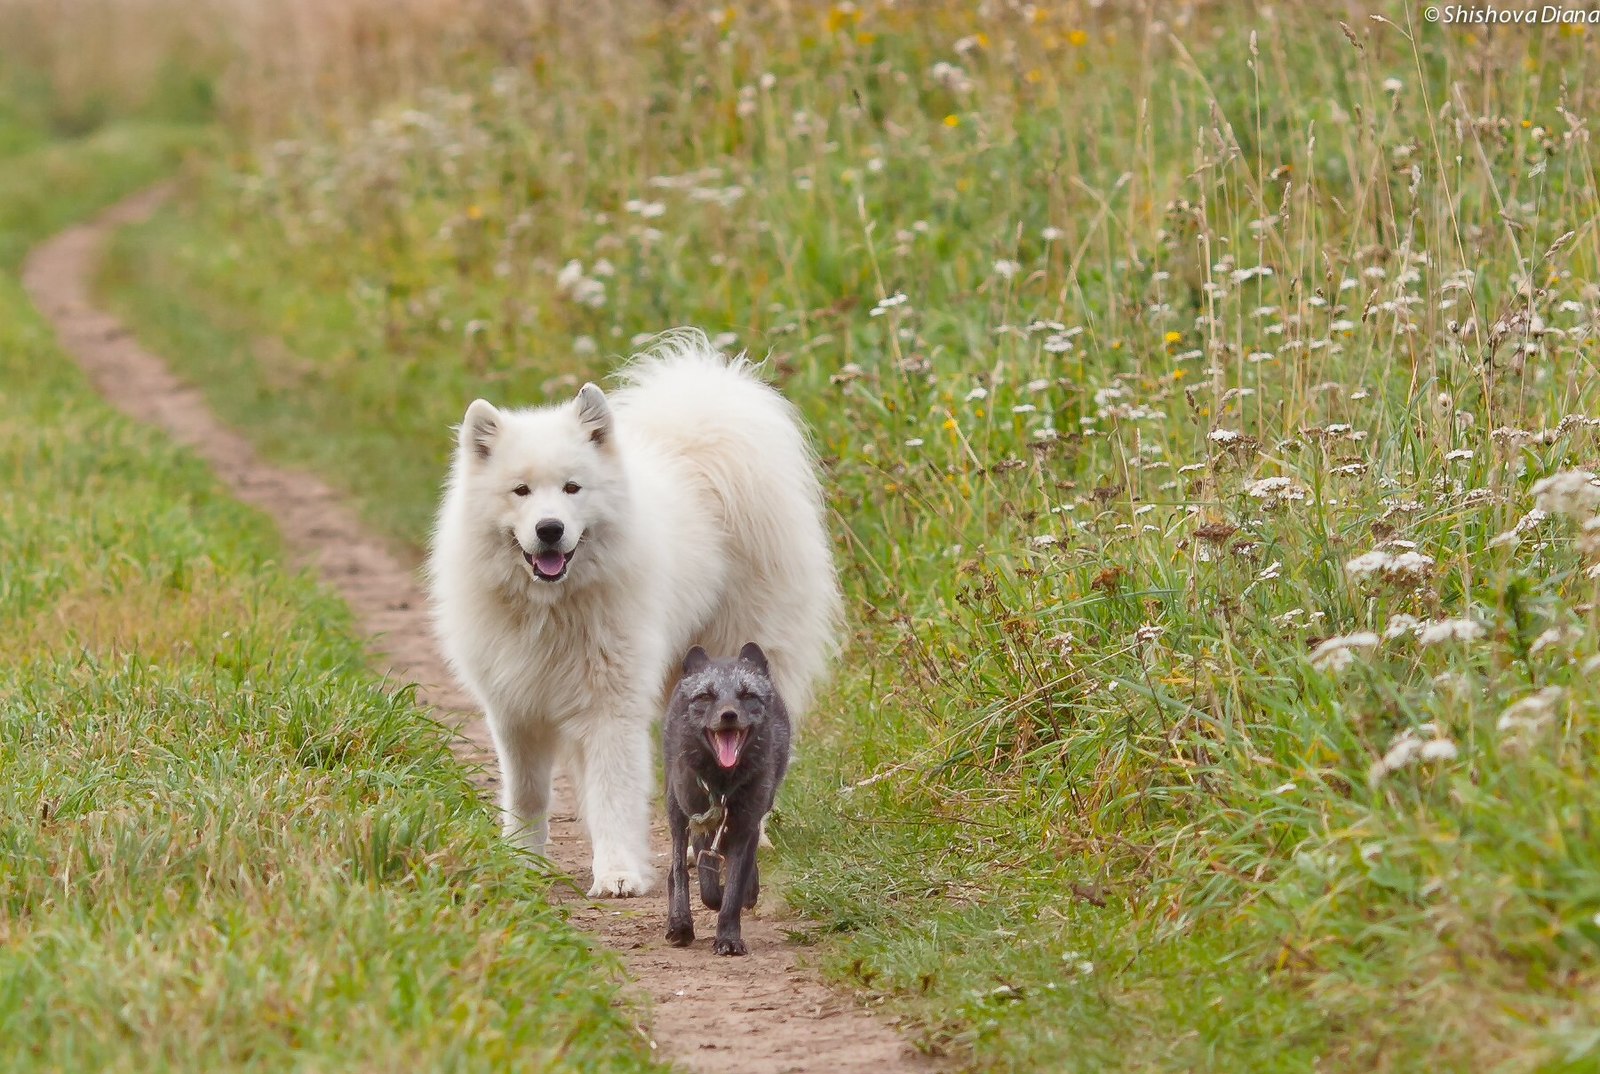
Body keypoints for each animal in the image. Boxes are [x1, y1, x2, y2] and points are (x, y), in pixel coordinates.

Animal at [432, 334, 844, 896]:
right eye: (520, 491)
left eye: (572, 488)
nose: (549, 529)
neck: (551, 609)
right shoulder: (514, 707)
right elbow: (527, 796)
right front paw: (520, 863)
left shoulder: (612, 705)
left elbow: (614, 791)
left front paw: (619, 872)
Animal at [659, 643, 790, 953]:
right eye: (706, 696)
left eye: (747, 695)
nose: (728, 715)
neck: (722, 785)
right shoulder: (699, 822)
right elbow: (706, 881)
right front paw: (709, 905)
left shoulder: (746, 824)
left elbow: (734, 888)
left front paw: (729, 938)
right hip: (676, 811)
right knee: (677, 871)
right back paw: (680, 924)